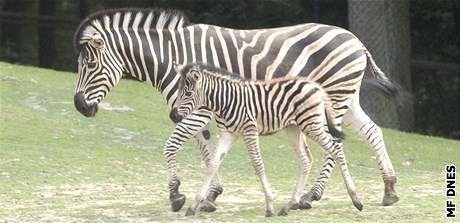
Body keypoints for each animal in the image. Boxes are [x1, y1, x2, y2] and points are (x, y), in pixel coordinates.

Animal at [165, 62, 362, 216]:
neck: (225, 101)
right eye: (179, 91)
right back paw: (289, 205)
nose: (173, 115)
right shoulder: (228, 134)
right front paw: (194, 205)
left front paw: (269, 206)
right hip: (294, 128)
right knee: (306, 159)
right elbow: (213, 164)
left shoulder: (249, 130)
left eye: (188, 93)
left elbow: (257, 164)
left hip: (311, 125)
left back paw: (356, 199)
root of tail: (315, 85)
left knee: (336, 149)